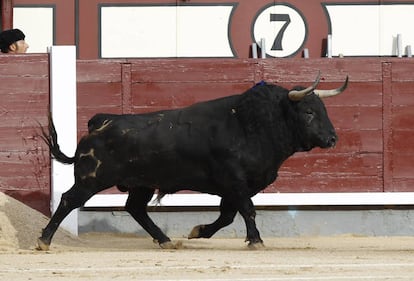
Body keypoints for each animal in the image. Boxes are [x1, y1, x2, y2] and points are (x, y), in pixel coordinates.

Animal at [38, 72, 350, 249]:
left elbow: (227, 216)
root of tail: (99, 122)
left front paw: (199, 232)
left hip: (142, 183)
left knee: (135, 208)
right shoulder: (235, 182)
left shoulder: (234, 188)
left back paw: (165, 240)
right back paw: (44, 240)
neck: (252, 125)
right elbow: (247, 211)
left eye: (323, 109)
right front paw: (256, 240)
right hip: (92, 179)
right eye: (308, 112)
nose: (332, 139)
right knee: (69, 200)